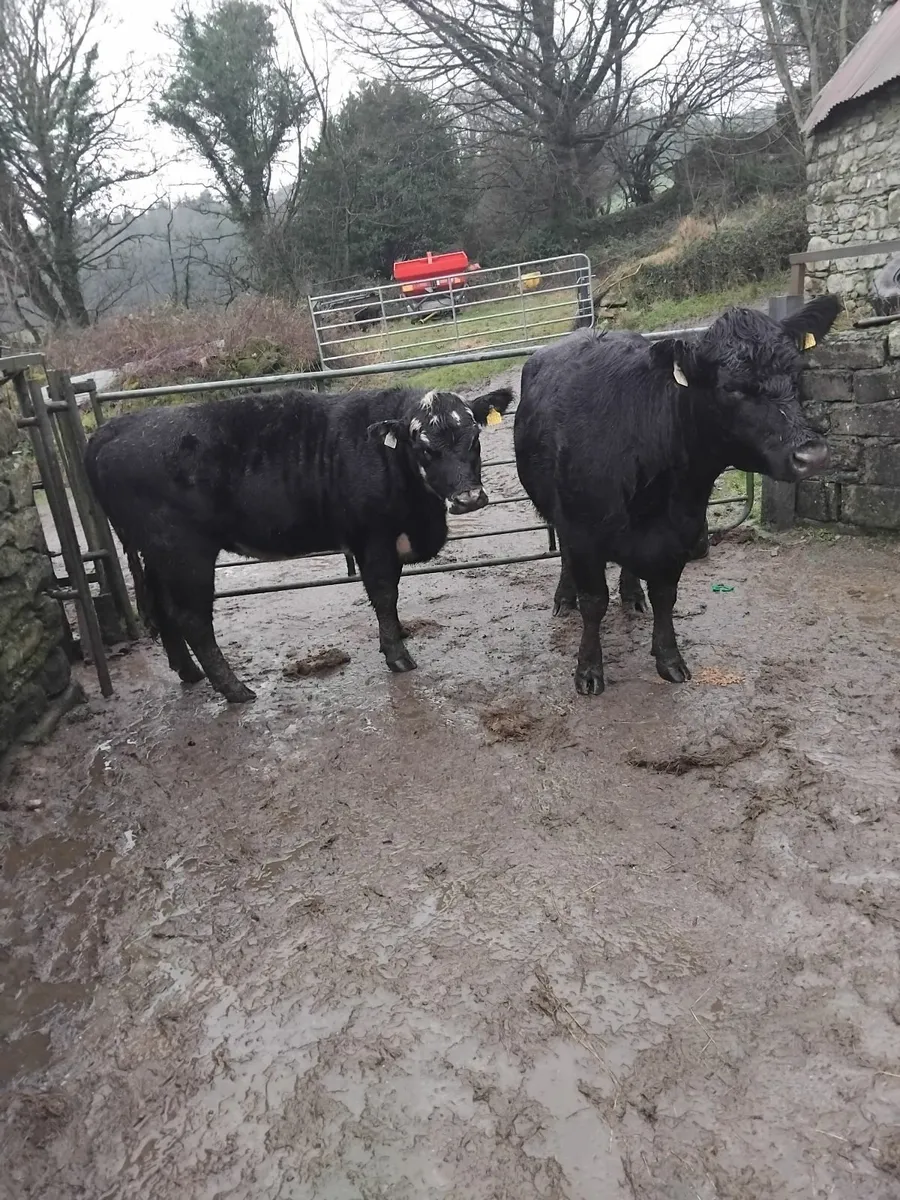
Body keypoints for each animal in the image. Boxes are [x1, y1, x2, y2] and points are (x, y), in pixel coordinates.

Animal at [84, 384, 514, 703]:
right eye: (424, 447)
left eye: (475, 438)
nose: (468, 498)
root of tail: (116, 428)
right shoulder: (372, 538)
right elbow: (384, 594)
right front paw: (397, 655)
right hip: (184, 554)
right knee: (193, 618)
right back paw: (235, 690)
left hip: (155, 555)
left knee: (162, 609)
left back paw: (189, 673)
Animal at [514, 295, 840, 695]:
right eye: (730, 387)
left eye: (796, 373)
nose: (812, 455)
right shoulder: (581, 531)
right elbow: (594, 602)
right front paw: (589, 669)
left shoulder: (681, 531)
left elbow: (665, 597)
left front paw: (669, 658)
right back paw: (565, 597)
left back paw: (632, 595)